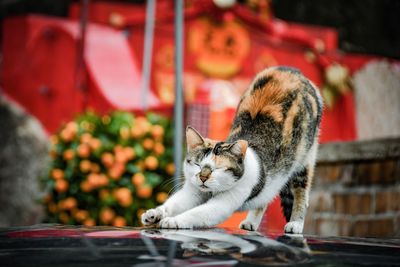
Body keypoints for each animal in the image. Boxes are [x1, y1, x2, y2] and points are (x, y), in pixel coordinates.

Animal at [141, 66, 322, 234]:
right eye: (198, 165)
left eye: (218, 168)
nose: (203, 177)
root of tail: (292, 70)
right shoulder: (192, 192)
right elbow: (174, 203)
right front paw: (155, 214)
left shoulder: (224, 202)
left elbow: (197, 213)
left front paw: (174, 221)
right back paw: (251, 222)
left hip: (305, 159)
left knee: (301, 193)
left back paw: (296, 223)